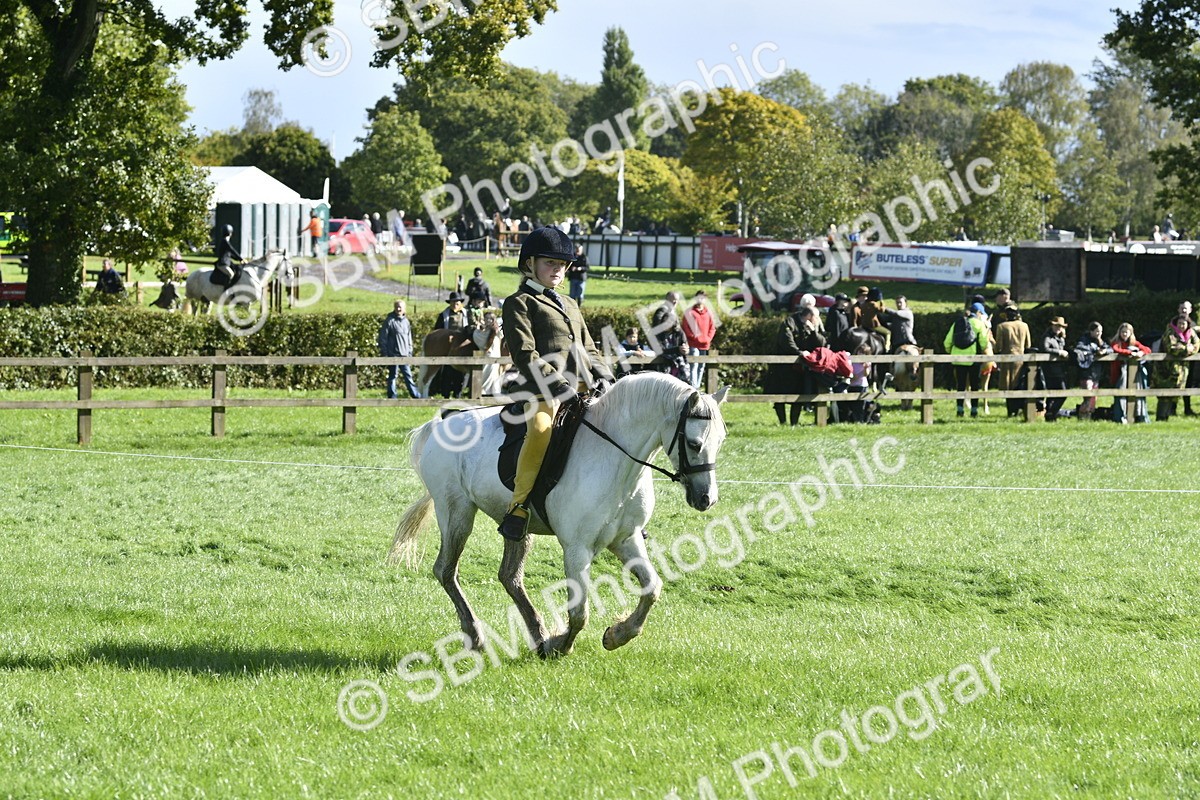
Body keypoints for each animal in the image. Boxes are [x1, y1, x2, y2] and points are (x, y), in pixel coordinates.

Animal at [388, 372, 729, 658]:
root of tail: (442, 423)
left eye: (721, 441)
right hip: (456, 512)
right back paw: (477, 636)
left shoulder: (626, 539)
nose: (706, 499)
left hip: (514, 525)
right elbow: (579, 613)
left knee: (509, 577)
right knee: (446, 571)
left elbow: (652, 588)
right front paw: (560, 645)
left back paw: (537, 634)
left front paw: (617, 635)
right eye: (694, 443)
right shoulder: (577, 549)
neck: (615, 459)